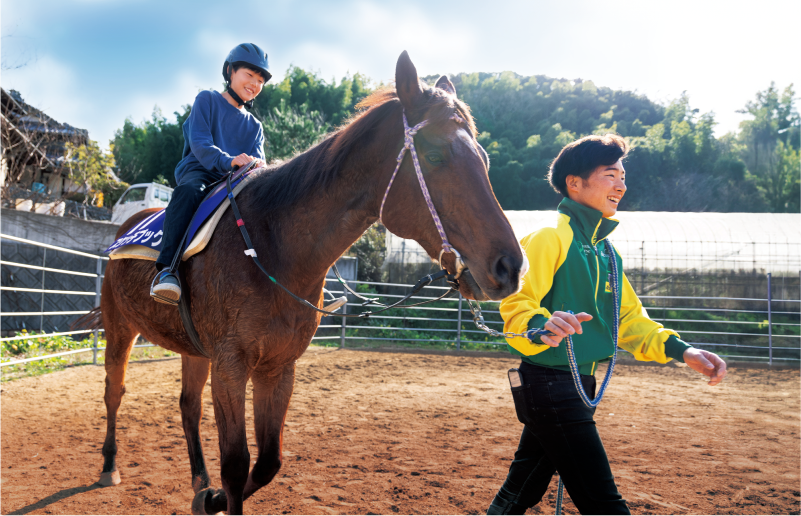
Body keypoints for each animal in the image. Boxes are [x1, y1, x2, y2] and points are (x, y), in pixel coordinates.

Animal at [89, 51, 524, 516]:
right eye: (437, 155)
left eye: (483, 159)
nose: (510, 266)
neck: (270, 245)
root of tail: (125, 229)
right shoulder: (231, 365)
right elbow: (236, 463)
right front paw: (219, 494)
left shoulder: (278, 367)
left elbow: (267, 463)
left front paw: (213, 498)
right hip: (120, 328)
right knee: (114, 392)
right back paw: (110, 466)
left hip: (193, 349)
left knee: (188, 407)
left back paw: (199, 484)